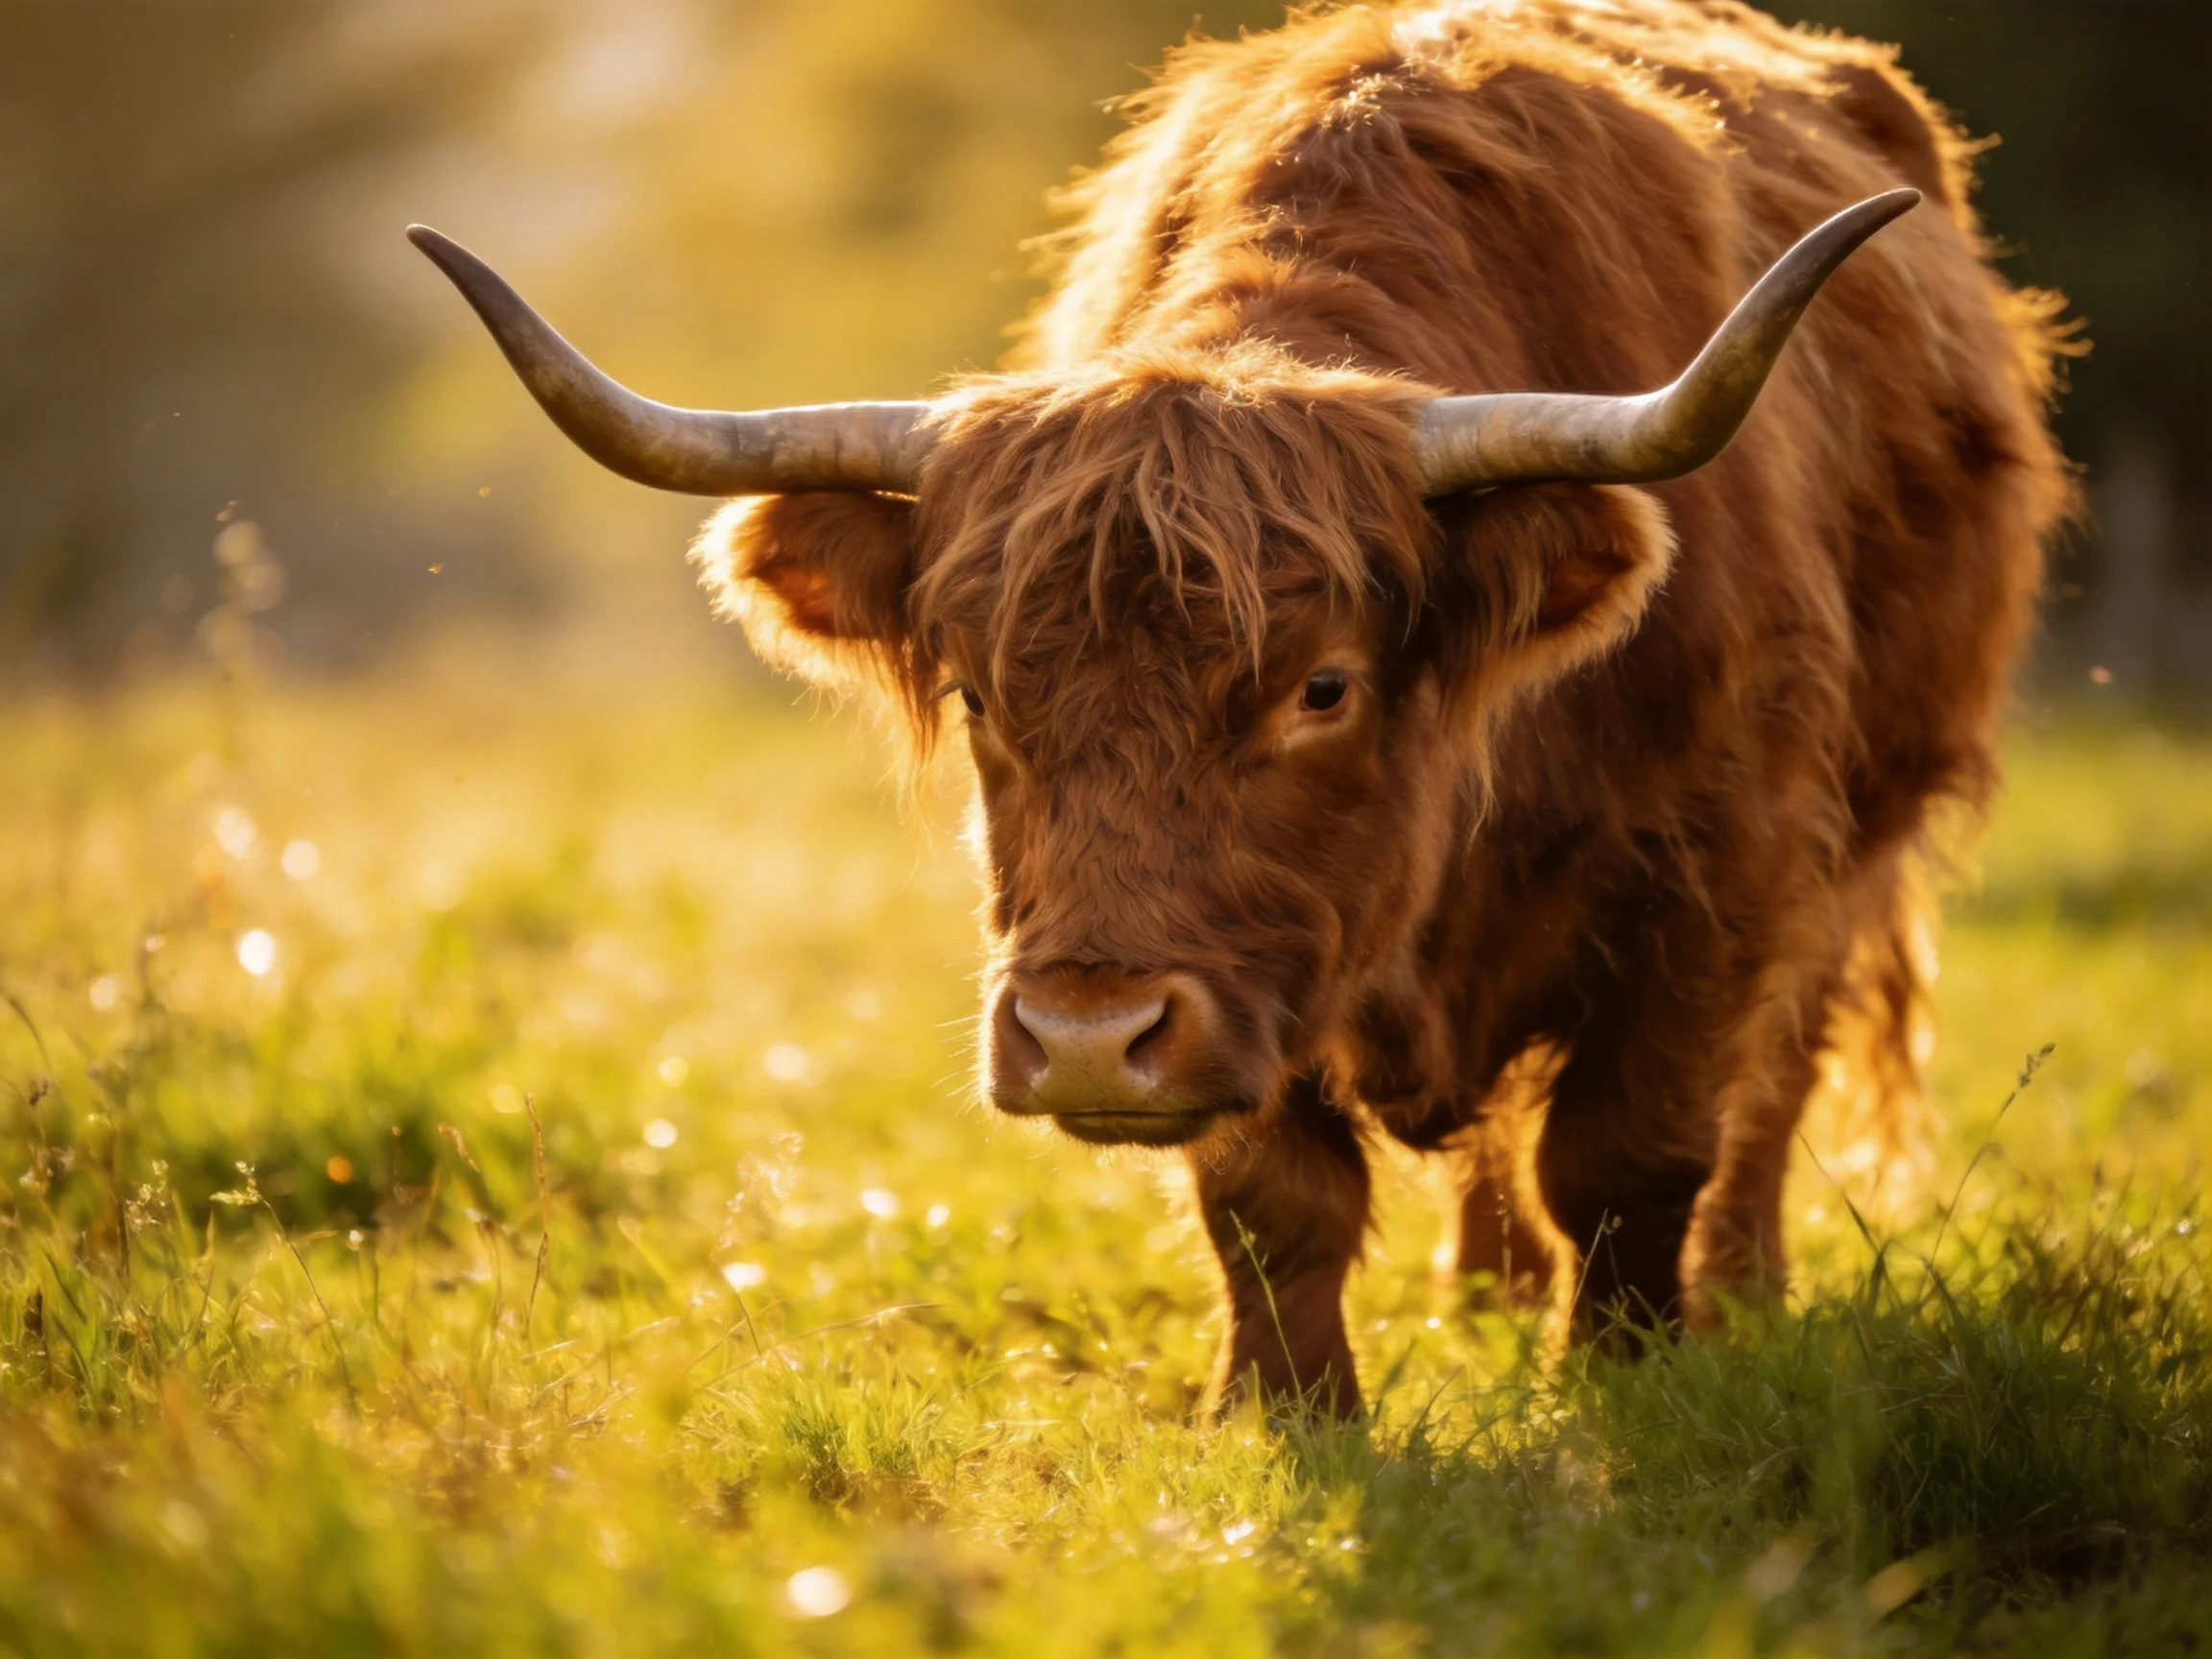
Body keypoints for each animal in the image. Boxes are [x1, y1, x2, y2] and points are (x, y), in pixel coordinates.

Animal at [411, 0, 2071, 1416]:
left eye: (1322, 685)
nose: (1087, 1038)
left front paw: (1631, 1381)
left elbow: (1632, 1152)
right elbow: (1274, 1199)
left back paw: (1743, 1293)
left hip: (1860, 834)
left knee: (1769, 1090)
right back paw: (1482, 1295)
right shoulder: (1249, 985)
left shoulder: (1720, 870)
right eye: (980, 691)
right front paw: (1288, 1415)